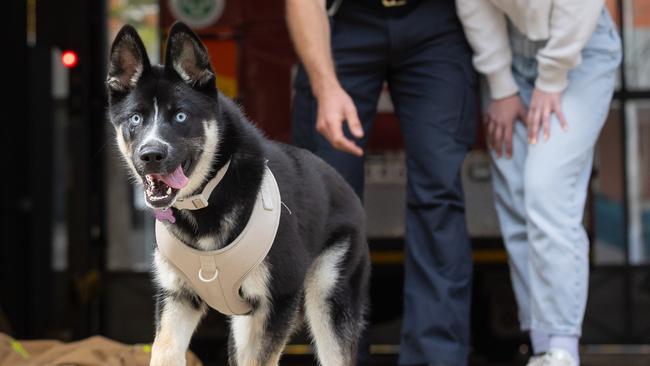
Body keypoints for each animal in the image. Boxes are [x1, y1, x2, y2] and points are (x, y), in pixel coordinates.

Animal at [107, 23, 370, 366]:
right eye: (135, 119)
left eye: (180, 116)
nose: (151, 154)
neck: (206, 199)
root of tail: (342, 184)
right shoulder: (177, 299)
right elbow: (164, 350)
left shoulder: (278, 300)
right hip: (245, 325)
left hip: (328, 298)